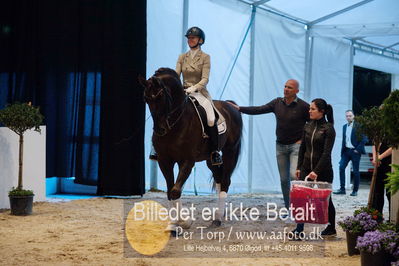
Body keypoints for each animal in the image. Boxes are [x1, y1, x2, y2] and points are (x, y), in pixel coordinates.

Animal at [139, 67, 242, 228]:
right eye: (146, 99)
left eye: (161, 96)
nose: (160, 130)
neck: (175, 124)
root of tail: (231, 105)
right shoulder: (164, 161)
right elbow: (170, 191)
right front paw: (174, 222)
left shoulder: (187, 161)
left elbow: (175, 190)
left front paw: (184, 221)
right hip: (210, 158)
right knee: (218, 177)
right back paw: (219, 214)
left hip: (230, 151)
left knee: (225, 181)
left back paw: (218, 218)